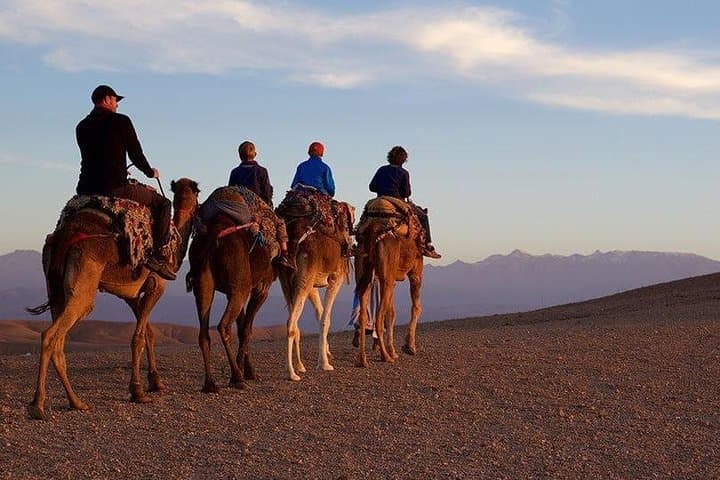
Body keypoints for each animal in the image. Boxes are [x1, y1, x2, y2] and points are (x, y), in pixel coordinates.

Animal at [26, 178, 199, 420]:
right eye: (199, 192)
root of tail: (62, 237)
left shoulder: (131, 294)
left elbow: (148, 333)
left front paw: (155, 381)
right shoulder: (156, 285)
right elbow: (138, 337)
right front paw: (138, 391)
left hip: (55, 290)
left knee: (58, 343)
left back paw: (76, 402)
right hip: (83, 289)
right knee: (51, 335)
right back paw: (38, 405)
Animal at [187, 188, 276, 393]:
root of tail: (214, 235)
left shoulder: (231, 291)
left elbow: (242, 327)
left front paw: (247, 369)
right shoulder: (260, 288)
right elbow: (247, 329)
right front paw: (248, 372)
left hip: (203, 283)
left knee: (204, 332)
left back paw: (210, 384)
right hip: (239, 289)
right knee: (223, 326)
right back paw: (236, 378)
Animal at [276, 197, 351, 381]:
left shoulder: (312, 286)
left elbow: (319, 314)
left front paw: (323, 355)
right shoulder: (335, 277)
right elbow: (325, 319)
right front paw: (324, 363)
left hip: (286, 282)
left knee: (294, 322)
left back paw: (297, 367)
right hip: (305, 276)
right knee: (291, 322)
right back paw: (292, 373)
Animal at [354, 201, 424, 368]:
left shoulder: (391, 280)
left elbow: (391, 313)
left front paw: (394, 350)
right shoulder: (416, 271)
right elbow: (416, 307)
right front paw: (409, 346)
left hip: (365, 270)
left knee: (364, 314)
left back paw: (363, 359)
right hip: (387, 276)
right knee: (379, 317)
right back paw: (385, 356)